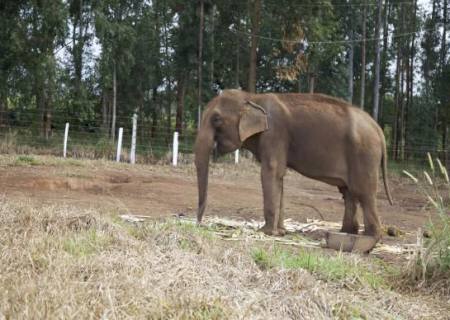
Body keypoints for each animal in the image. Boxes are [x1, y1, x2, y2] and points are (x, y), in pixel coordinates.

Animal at [195, 89, 392, 240]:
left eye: (216, 119)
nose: (198, 224)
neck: (252, 97)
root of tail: (378, 129)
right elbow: (279, 177)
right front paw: (281, 232)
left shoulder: (275, 134)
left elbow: (270, 172)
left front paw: (265, 232)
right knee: (348, 193)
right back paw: (346, 232)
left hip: (364, 154)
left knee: (363, 192)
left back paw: (369, 238)